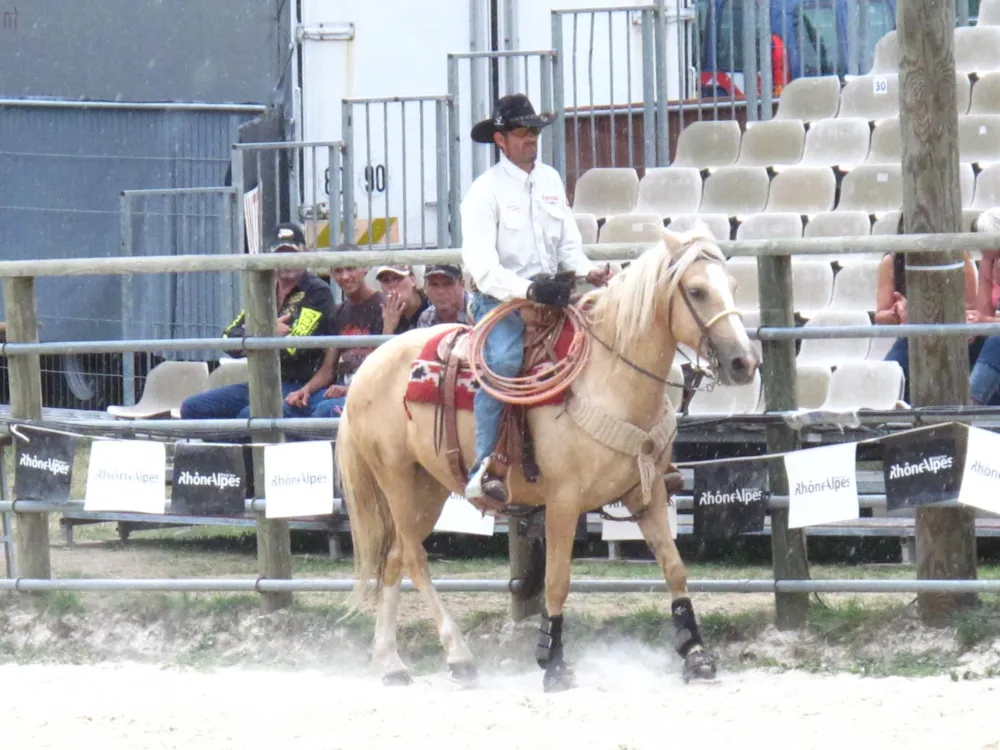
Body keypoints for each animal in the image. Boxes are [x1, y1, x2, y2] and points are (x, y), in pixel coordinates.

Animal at [336, 228, 756, 692]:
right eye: (696, 291)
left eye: (732, 285)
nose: (744, 362)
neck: (608, 380)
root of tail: (368, 366)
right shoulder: (563, 503)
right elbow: (557, 581)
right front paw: (552, 662)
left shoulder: (645, 495)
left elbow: (675, 568)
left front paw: (696, 655)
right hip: (396, 479)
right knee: (414, 558)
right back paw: (458, 656)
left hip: (427, 487)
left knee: (394, 557)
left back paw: (392, 663)